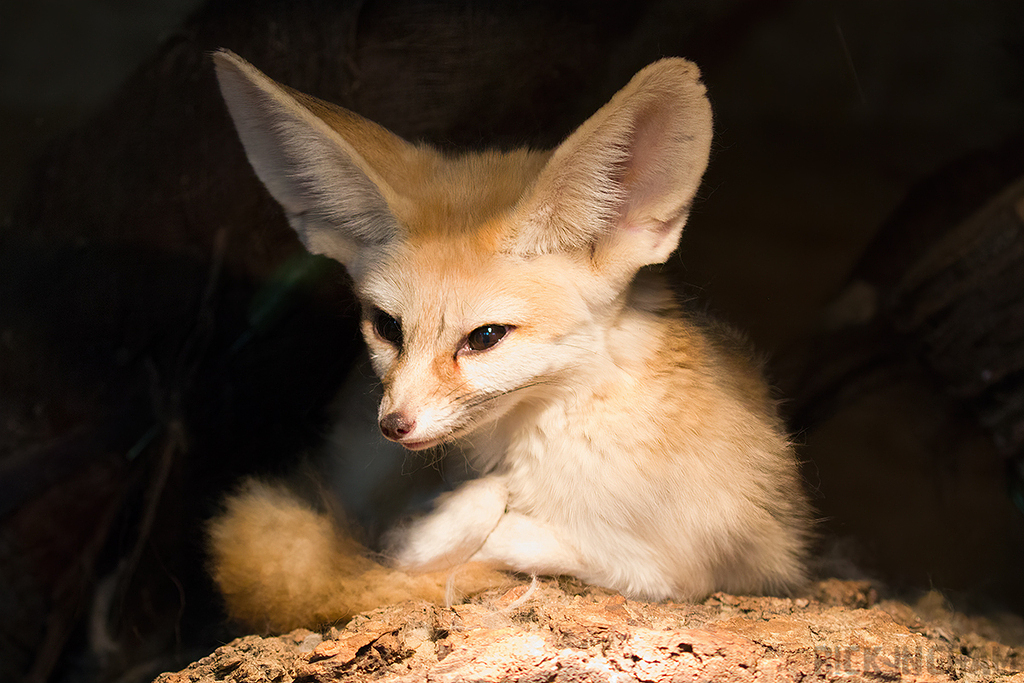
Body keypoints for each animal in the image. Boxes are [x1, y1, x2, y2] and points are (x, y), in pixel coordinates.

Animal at [211, 50, 811, 634]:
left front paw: (434, 533)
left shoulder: (704, 567)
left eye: (486, 337)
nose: (393, 425)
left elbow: (516, 534)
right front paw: (421, 530)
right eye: (387, 327)